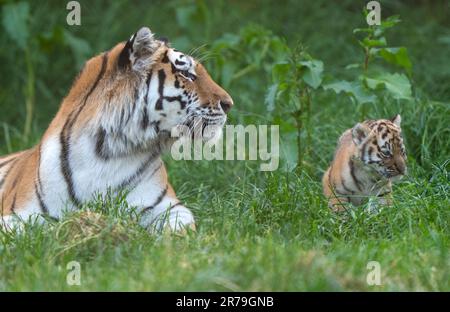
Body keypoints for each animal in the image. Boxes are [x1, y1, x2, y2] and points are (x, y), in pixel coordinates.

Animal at [0, 26, 232, 232]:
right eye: (186, 74)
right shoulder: (18, 214)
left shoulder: (168, 206)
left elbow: (179, 228)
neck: (107, 151)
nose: (229, 103)